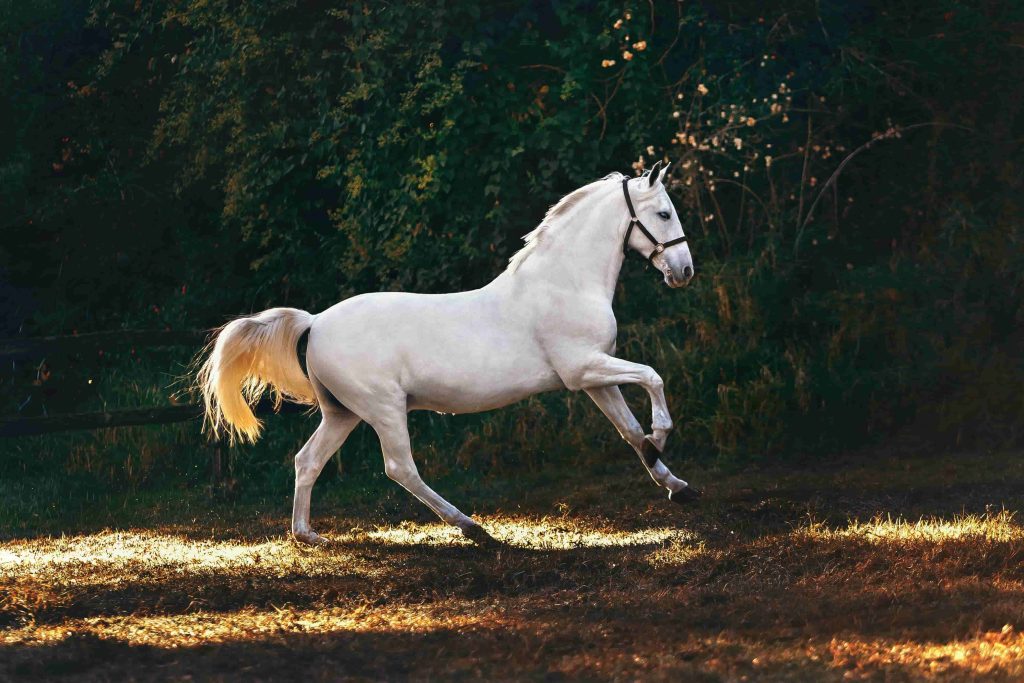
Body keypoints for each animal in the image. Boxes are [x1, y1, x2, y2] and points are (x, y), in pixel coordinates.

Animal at [196, 161, 700, 544]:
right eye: (663, 213)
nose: (684, 272)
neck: (564, 283)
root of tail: (315, 323)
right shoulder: (584, 370)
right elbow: (652, 377)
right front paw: (662, 436)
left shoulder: (596, 378)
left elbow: (629, 431)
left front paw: (676, 484)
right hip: (383, 408)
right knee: (400, 468)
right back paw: (471, 527)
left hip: (343, 412)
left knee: (308, 460)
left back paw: (307, 535)